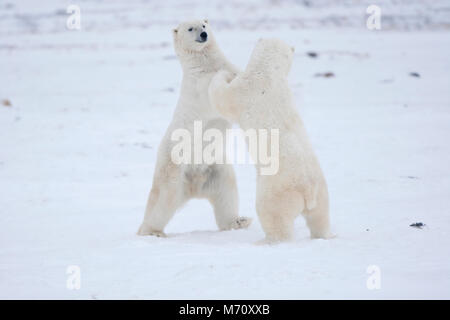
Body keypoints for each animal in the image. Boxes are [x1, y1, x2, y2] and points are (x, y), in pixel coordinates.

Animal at [137, 19, 251, 235]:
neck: (203, 64)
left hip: (216, 169)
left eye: (204, 25)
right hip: (174, 167)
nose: (204, 35)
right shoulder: (200, 85)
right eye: (191, 28)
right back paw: (151, 231)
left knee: (227, 193)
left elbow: (236, 71)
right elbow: (218, 91)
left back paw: (238, 221)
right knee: (163, 198)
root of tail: (194, 187)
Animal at [209, 38, 332, 242]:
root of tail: (307, 191)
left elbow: (223, 97)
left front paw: (224, 74)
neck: (269, 73)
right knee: (320, 217)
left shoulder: (246, 89)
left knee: (273, 216)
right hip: (321, 191)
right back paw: (325, 235)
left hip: (276, 191)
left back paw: (267, 241)